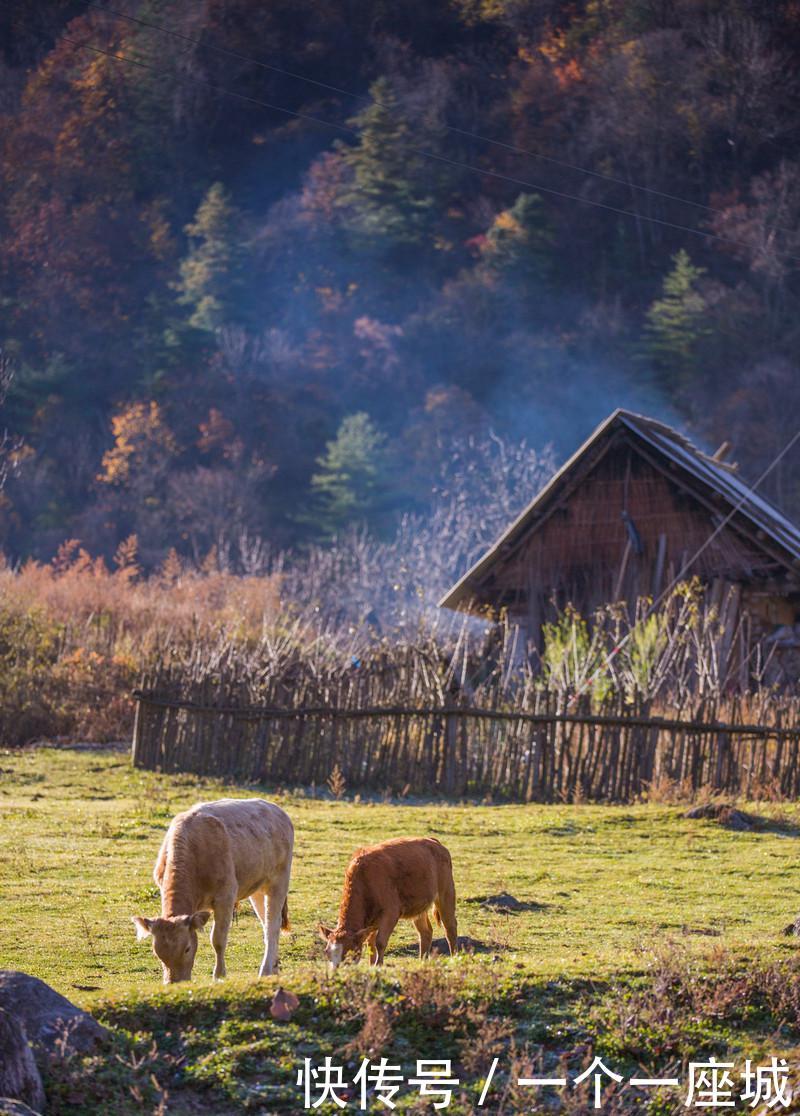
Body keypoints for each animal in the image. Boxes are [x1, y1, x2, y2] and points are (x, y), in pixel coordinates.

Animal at [319, 839, 455, 968]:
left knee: (450, 928)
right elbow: (370, 944)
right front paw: (371, 966)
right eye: (327, 952)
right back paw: (422, 962)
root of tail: (433, 841)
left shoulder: (391, 913)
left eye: (350, 954)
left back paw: (455, 958)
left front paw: (378, 965)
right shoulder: (371, 922)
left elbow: (380, 942)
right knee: (425, 932)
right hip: (419, 907)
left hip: (446, 893)